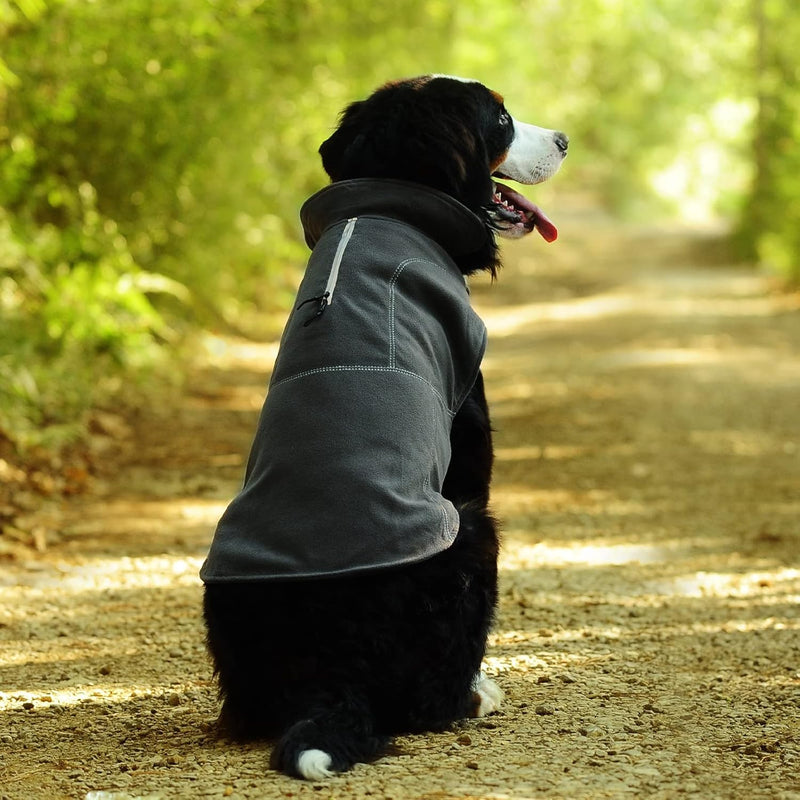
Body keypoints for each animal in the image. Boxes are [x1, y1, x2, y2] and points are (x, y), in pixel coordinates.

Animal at [200, 76, 564, 780]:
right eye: (502, 118)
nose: (564, 138)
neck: (392, 202)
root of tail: (333, 664)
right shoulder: (466, 437)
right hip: (472, 531)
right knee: (429, 700)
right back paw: (476, 695)